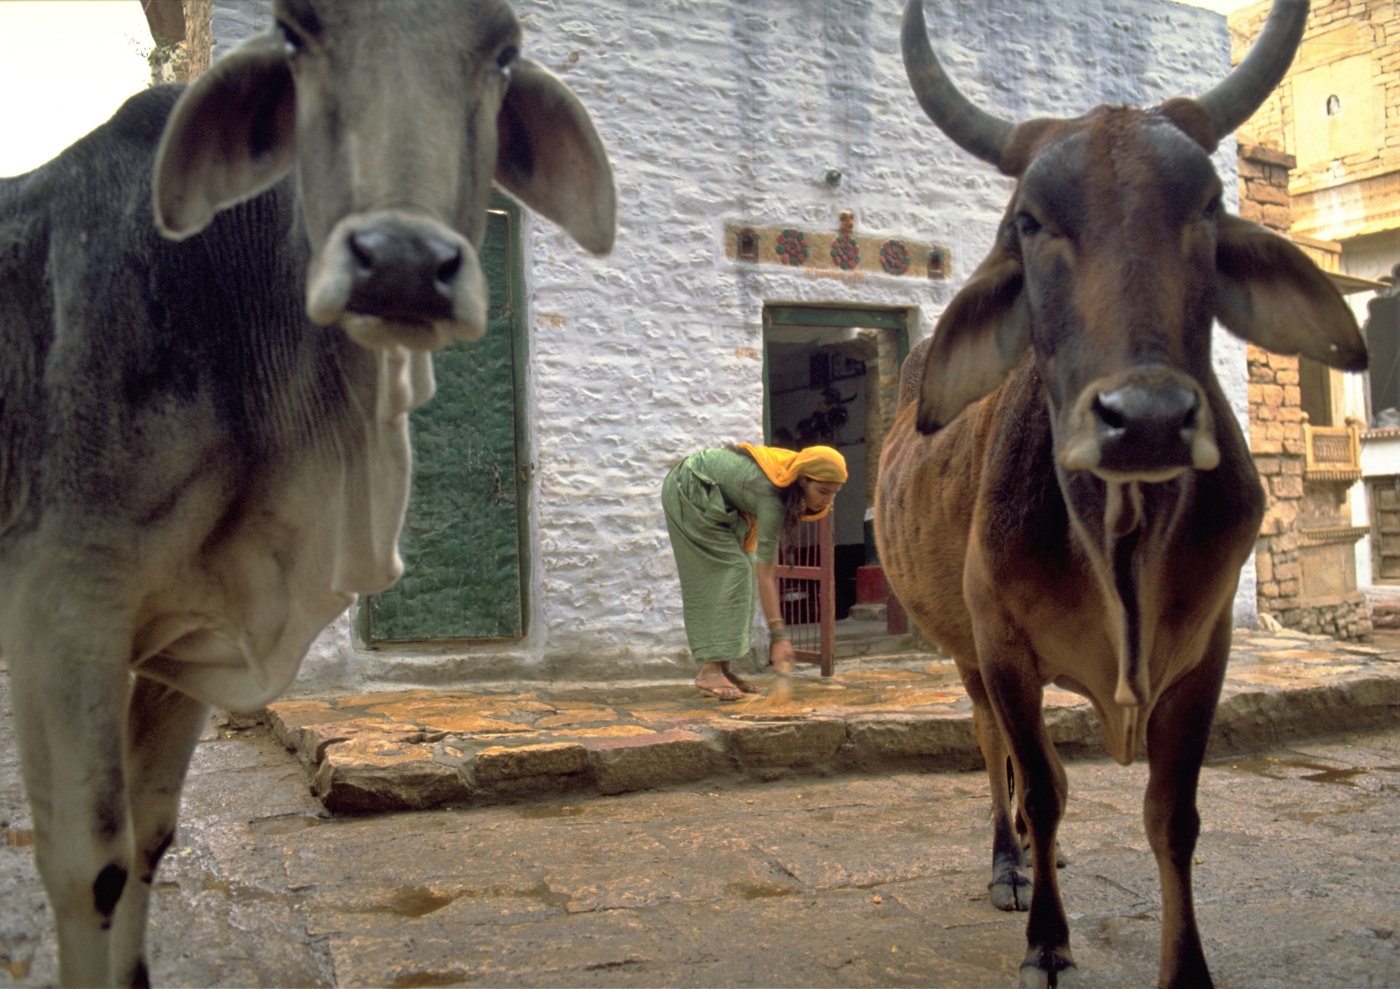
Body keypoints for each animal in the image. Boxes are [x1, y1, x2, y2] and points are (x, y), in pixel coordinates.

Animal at [0, 2, 613, 985]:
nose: (400, 262)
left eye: (504, 53)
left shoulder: (184, 636)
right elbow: (90, 863)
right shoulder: (62, 605)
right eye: (294, 34)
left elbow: (151, 839)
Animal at [874, 1, 1365, 986]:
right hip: (967, 653)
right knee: (995, 750)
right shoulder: (1003, 646)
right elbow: (1043, 786)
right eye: (1030, 222)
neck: (1120, 531)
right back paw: (1010, 863)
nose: (1146, 419)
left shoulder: (1206, 649)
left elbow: (1171, 816)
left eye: (1208, 208)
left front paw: (1188, 967)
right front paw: (1047, 938)